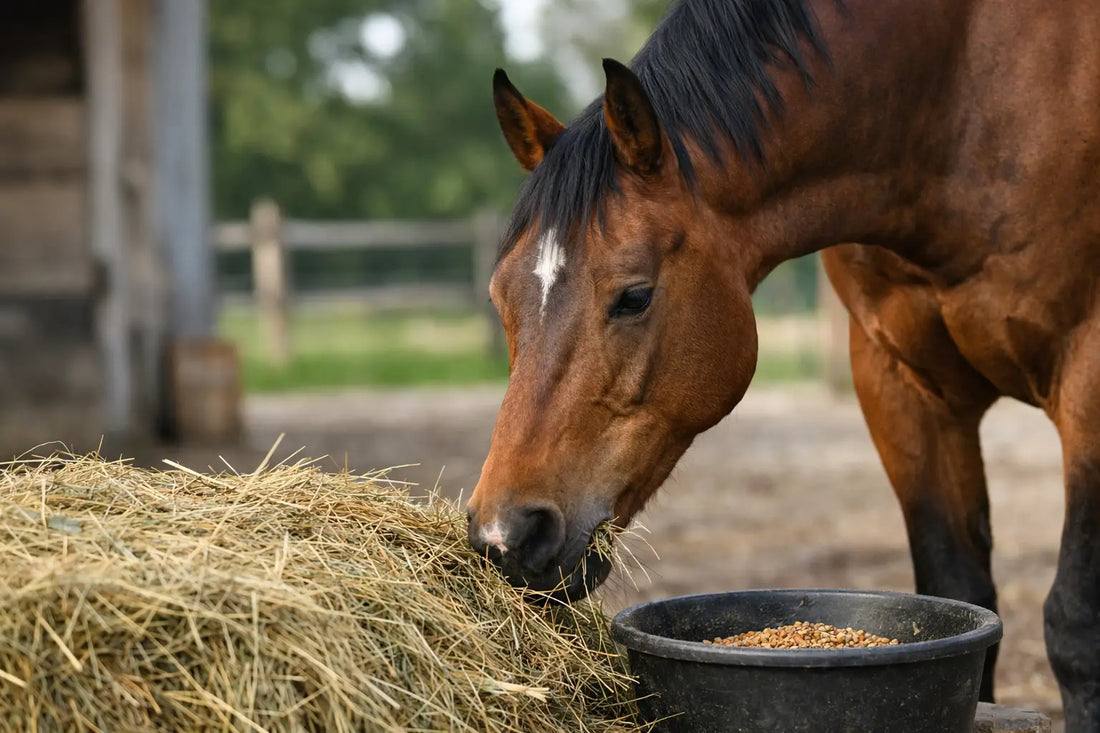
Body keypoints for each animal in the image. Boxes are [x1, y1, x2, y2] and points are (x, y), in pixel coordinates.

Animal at [464, 0, 1100, 727]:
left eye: (634, 296)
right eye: (500, 298)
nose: (505, 536)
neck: (953, 102)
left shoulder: (1088, 375)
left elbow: (1075, 627)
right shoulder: (899, 383)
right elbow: (960, 592)